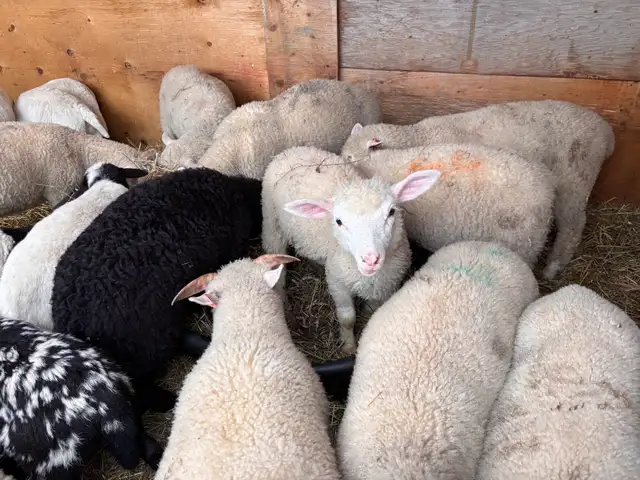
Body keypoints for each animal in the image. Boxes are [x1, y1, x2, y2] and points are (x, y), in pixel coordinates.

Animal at [262, 146, 440, 353]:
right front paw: (348, 348)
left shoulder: (386, 286)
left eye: (391, 212)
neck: (368, 278)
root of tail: (292, 150)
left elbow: (371, 313)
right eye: (339, 221)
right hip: (272, 223)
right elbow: (347, 318)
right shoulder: (338, 283)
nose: (370, 259)